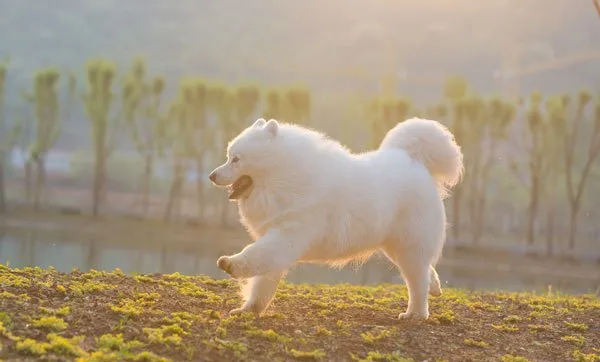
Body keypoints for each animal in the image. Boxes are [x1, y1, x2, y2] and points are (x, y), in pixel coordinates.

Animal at [210, 117, 464, 320]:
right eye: (228, 157)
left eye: (236, 159)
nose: (212, 175)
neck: (284, 175)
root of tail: (415, 161)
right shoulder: (279, 243)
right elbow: (261, 283)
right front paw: (249, 309)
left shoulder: (286, 237)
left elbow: (255, 255)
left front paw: (230, 264)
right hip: (397, 248)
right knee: (426, 271)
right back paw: (435, 288)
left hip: (409, 247)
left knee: (417, 283)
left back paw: (415, 314)